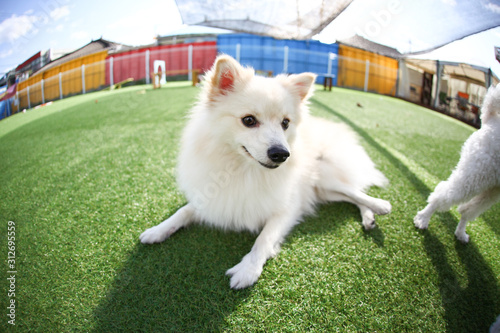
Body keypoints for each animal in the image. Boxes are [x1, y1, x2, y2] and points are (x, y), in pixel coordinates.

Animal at [141, 54, 390, 288]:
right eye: (249, 120)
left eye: (285, 123)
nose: (282, 153)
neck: (244, 171)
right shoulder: (213, 199)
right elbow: (183, 212)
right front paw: (157, 230)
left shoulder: (288, 209)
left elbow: (264, 238)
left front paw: (248, 269)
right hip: (323, 190)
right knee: (350, 195)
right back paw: (369, 218)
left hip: (325, 177)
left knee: (356, 192)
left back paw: (379, 206)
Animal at [414, 83, 500, 241]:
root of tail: (491, 119)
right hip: (476, 174)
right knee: (443, 194)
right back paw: (423, 219)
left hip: (492, 188)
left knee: (467, 209)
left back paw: (460, 234)